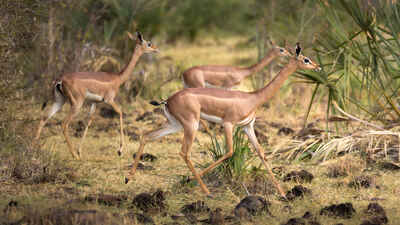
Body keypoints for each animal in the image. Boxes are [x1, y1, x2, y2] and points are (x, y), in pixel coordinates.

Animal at [34, 31, 159, 160]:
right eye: (149, 43)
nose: (156, 49)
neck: (118, 78)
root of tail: (60, 80)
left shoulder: (95, 103)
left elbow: (89, 121)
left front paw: (80, 151)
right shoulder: (109, 100)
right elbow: (120, 112)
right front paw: (120, 150)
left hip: (60, 101)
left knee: (44, 118)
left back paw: (35, 148)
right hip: (76, 104)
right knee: (64, 124)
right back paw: (74, 155)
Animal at [126, 43, 320, 197]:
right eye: (306, 59)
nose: (318, 67)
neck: (253, 97)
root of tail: (167, 100)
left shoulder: (248, 127)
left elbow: (261, 153)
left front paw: (282, 193)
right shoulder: (228, 124)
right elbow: (229, 152)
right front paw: (190, 180)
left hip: (174, 125)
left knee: (147, 136)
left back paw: (128, 178)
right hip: (191, 125)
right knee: (184, 152)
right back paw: (205, 191)